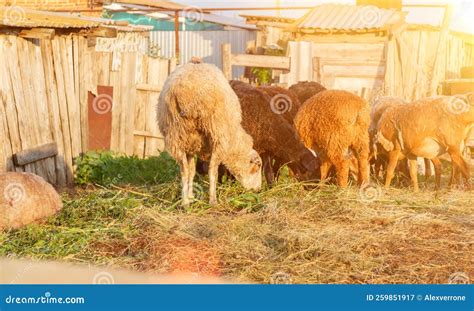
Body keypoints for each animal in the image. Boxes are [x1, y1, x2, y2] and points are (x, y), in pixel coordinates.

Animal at [156, 62, 262, 206]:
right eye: (258, 166)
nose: (259, 189)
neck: (234, 142)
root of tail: (186, 90)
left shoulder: (190, 146)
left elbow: (191, 172)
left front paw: (191, 196)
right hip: (217, 133)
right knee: (212, 171)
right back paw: (213, 200)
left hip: (176, 135)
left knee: (184, 171)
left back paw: (185, 203)